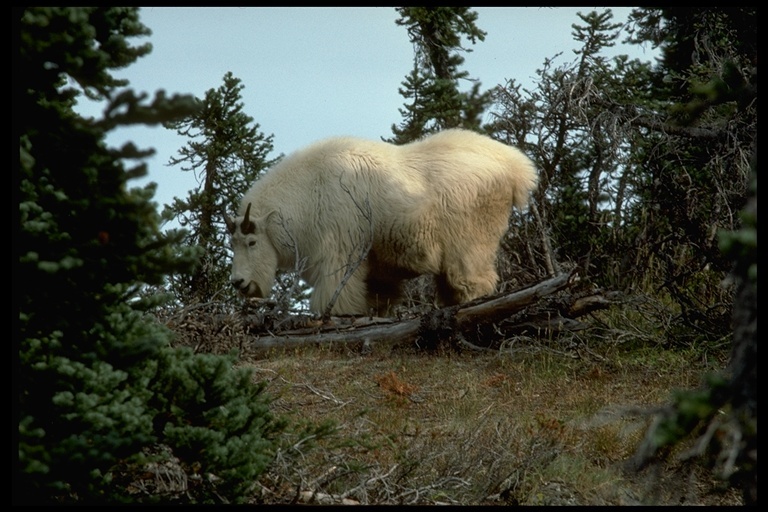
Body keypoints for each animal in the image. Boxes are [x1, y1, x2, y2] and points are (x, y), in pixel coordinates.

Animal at [225, 128, 536, 316]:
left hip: (470, 239)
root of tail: (517, 168)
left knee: (471, 280)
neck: (306, 195)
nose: (239, 282)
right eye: (232, 243)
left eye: (252, 241)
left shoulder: (338, 248)